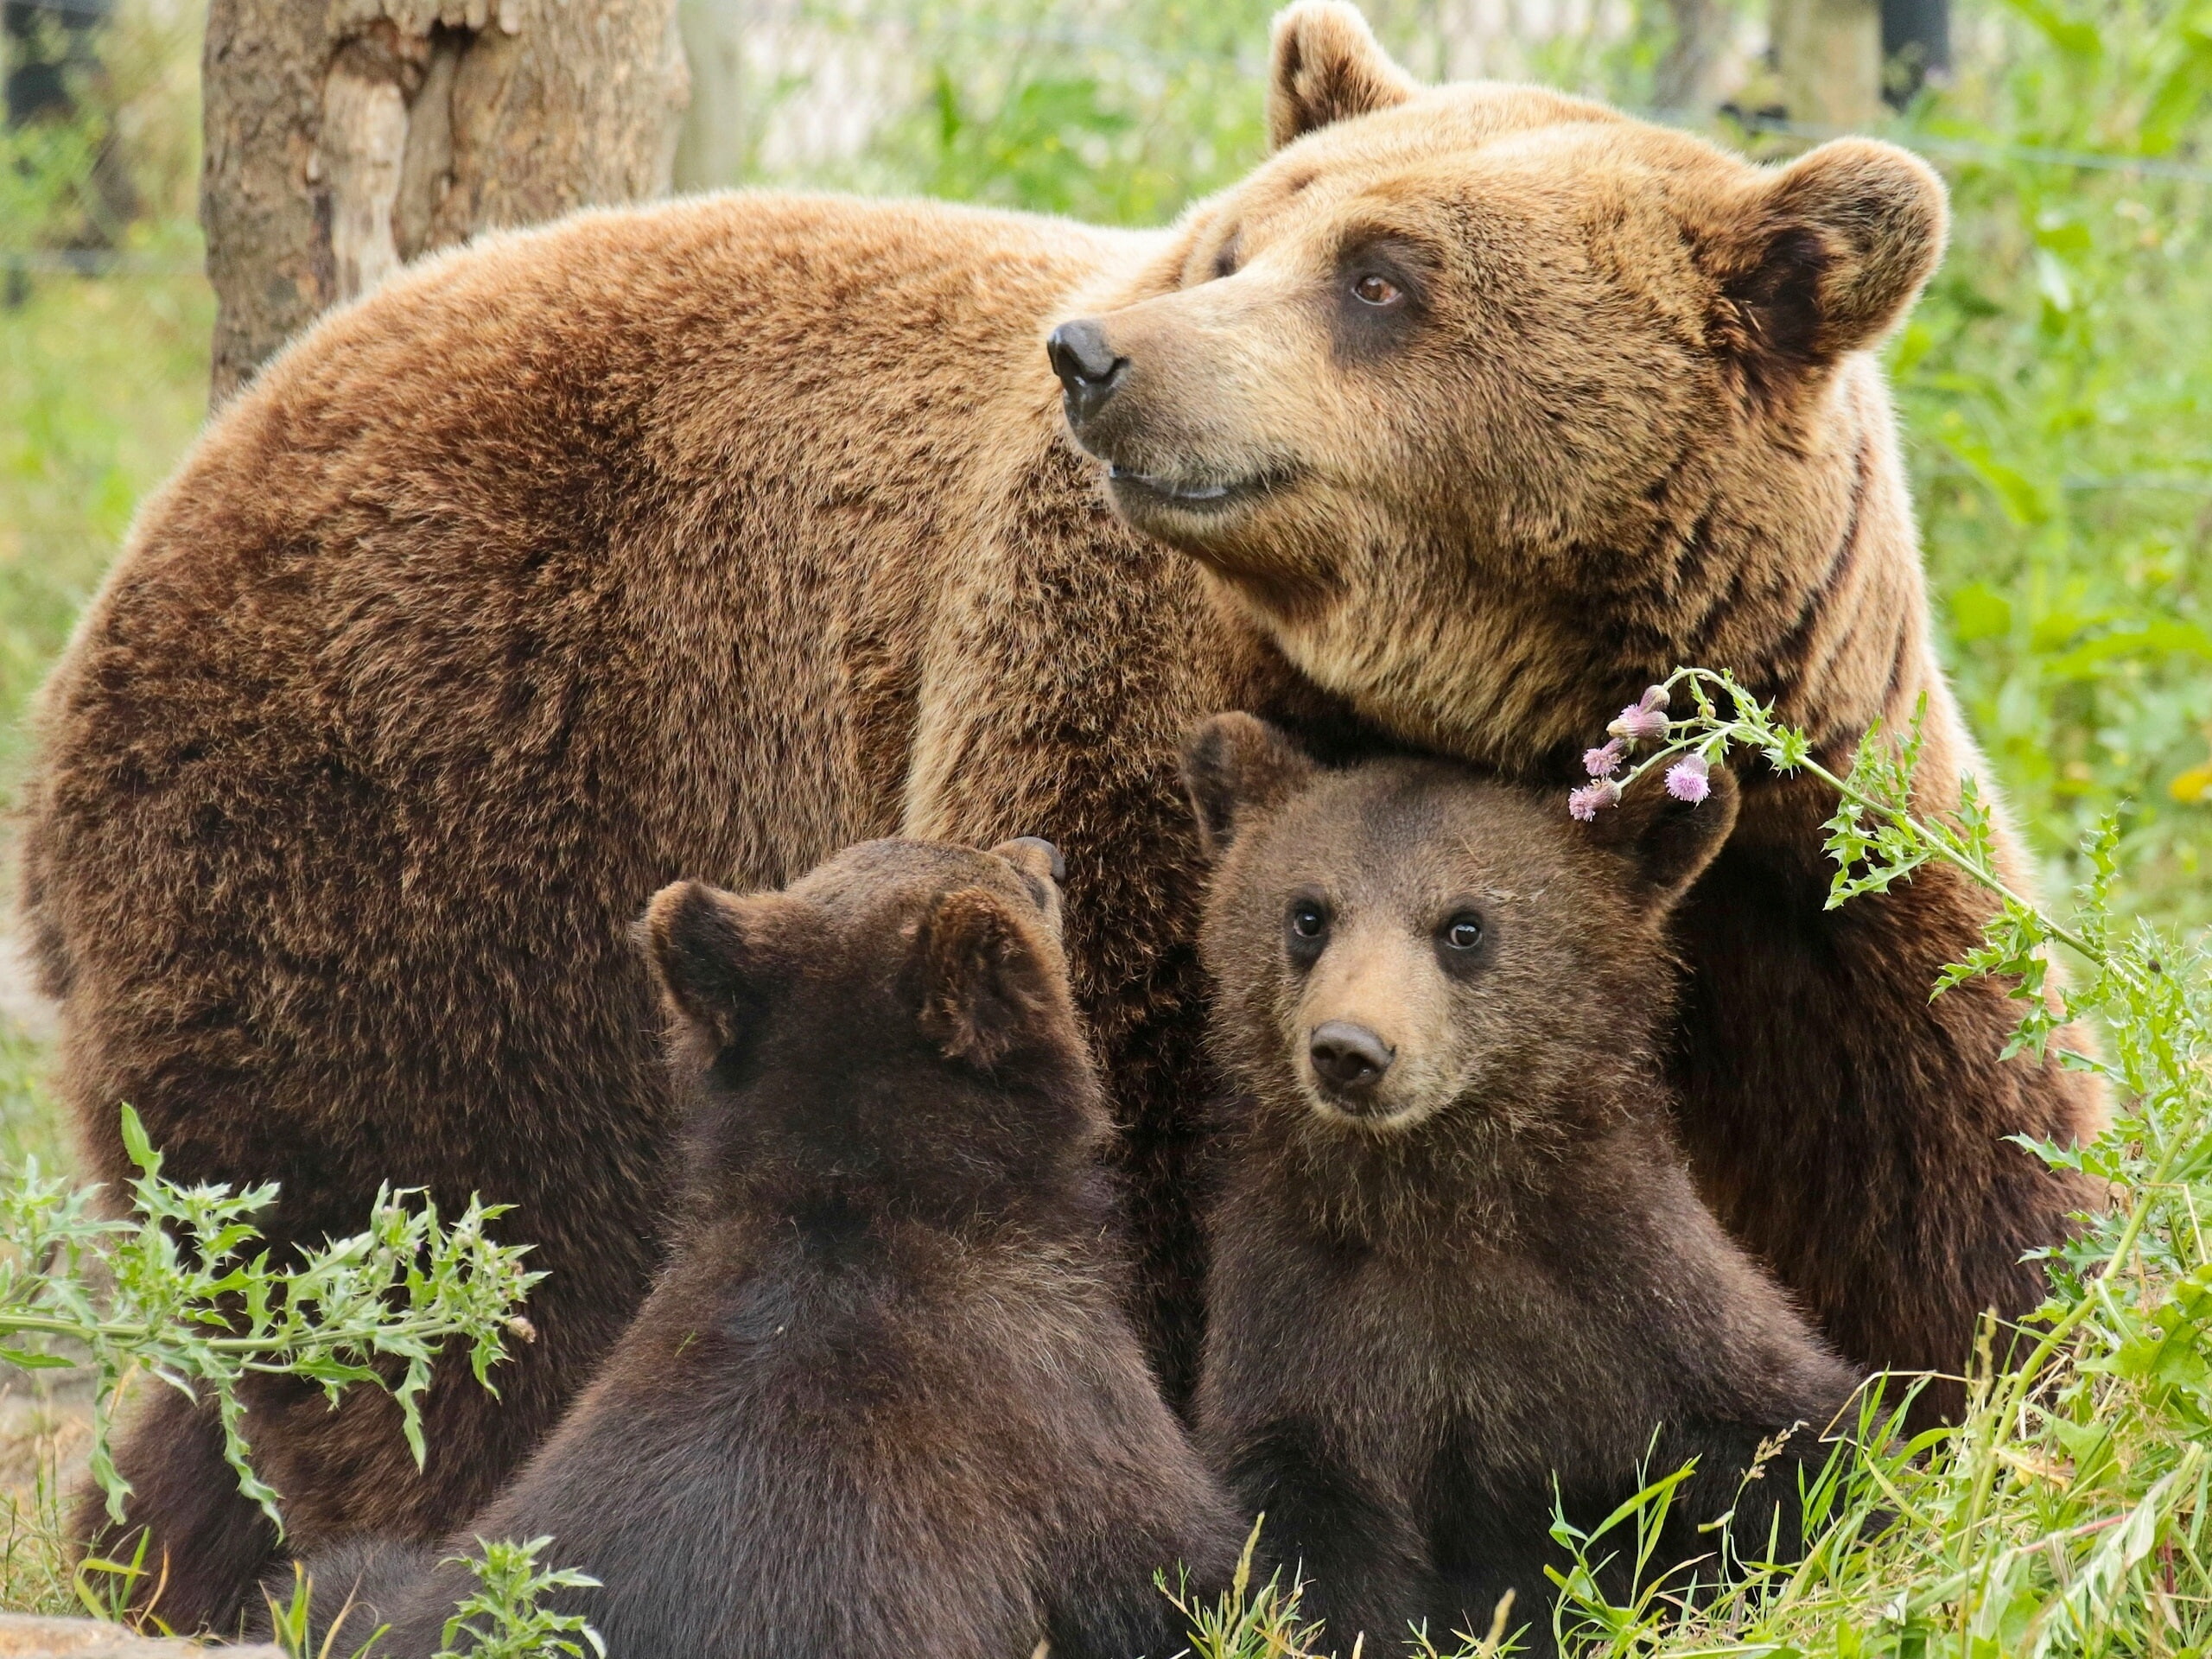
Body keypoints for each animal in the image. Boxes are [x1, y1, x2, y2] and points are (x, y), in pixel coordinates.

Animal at [1181, 713, 1867, 1656]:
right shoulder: (1302, 1323)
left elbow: (1799, 1445)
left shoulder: (1640, 1298)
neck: (1438, 1206)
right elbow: (1304, 1545)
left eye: (1464, 926)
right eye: (1308, 913)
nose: (1350, 1050)